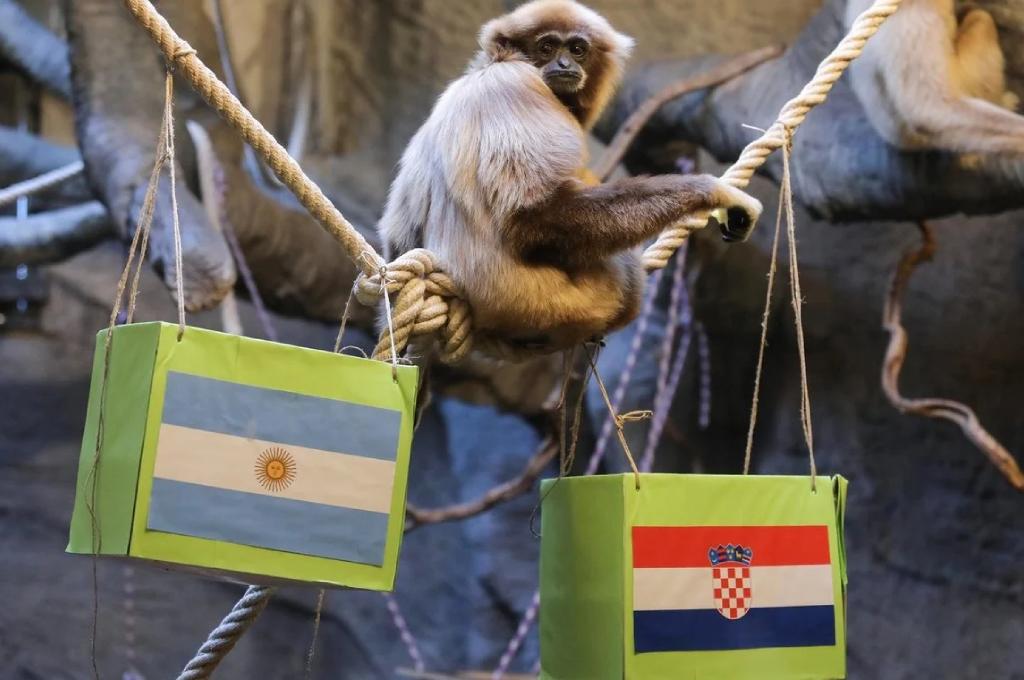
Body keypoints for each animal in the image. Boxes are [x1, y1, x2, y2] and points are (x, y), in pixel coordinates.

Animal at [378, 0, 763, 355]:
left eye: (577, 49)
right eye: (547, 47)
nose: (564, 64)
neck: (494, 65)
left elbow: (397, 232)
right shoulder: (517, 86)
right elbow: (534, 214)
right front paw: (711, 190)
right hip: (547, 302)